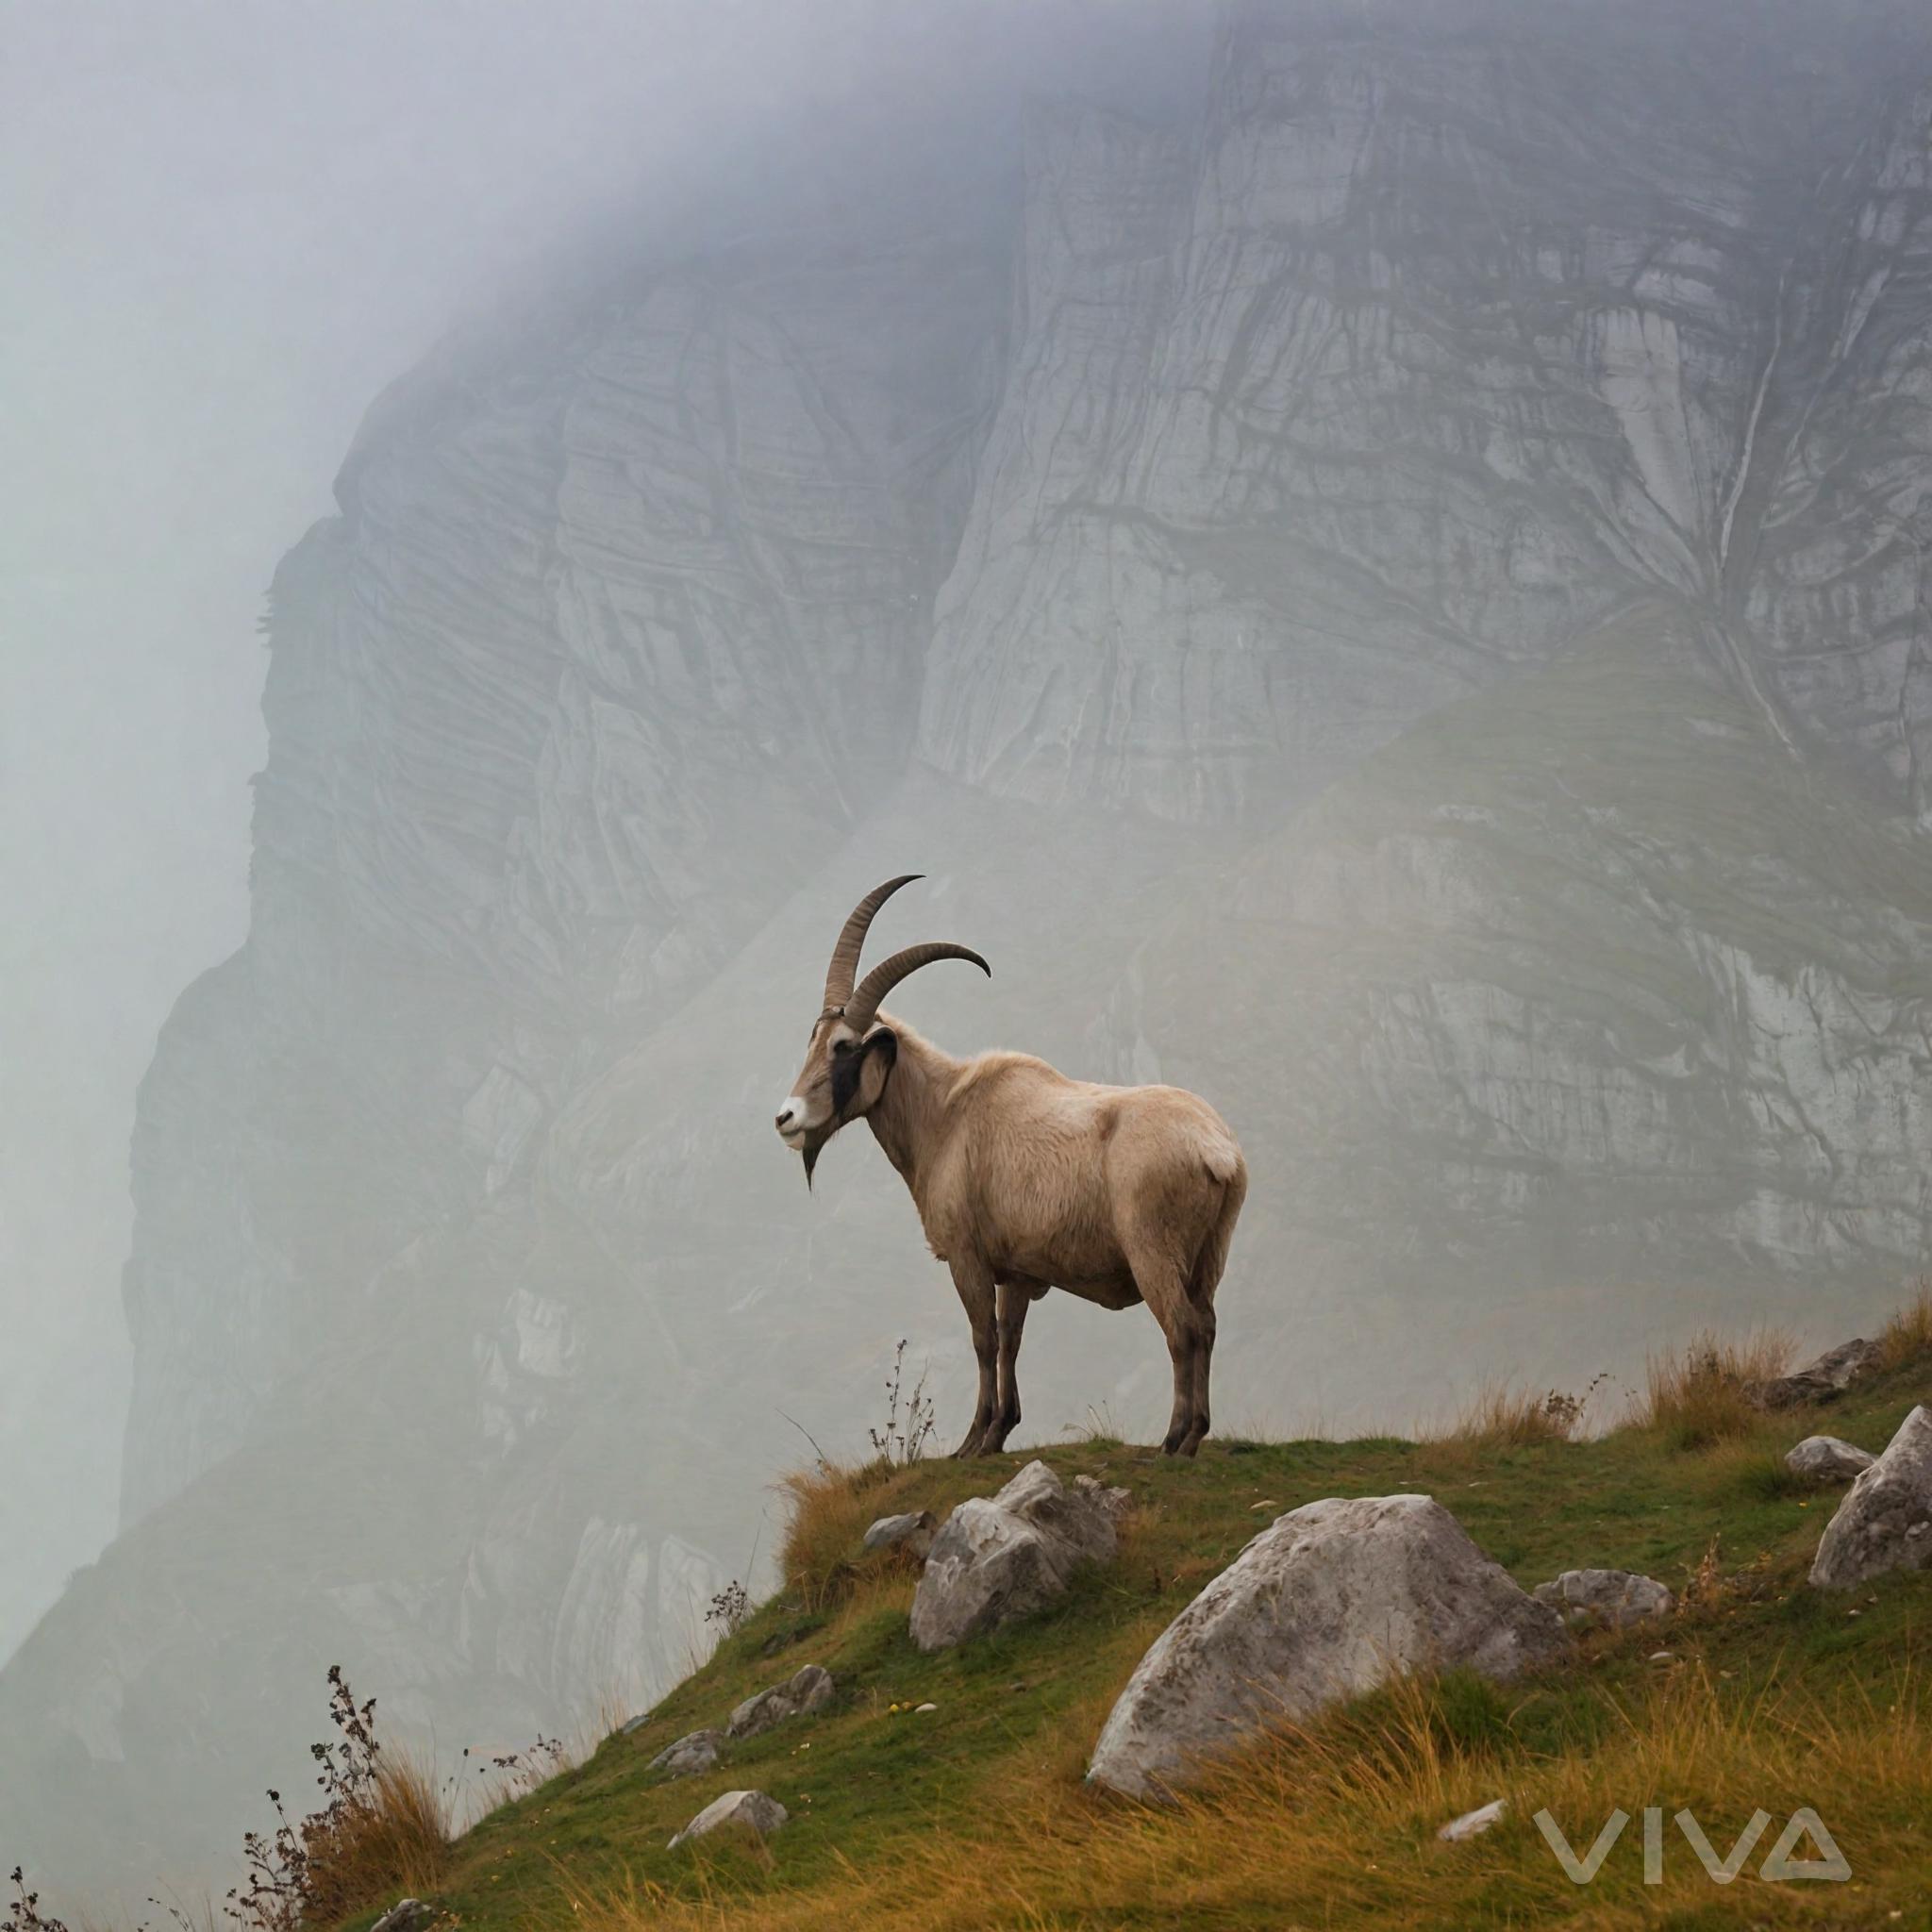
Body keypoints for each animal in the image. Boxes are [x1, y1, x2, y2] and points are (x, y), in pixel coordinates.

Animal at [775, 876, 1247, 1457]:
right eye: (814, 1039)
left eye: (844, 1046)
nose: (787, 1117)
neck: (948, 1112)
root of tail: (1217, 1151)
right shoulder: (1018, 1273)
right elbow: (1010, 1341)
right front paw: (1000, 1432)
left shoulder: (968, 1260)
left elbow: (983, 1339)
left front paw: (971, 1441)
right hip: (1208, 1257)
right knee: (1206, 1324)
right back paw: (1195, 1434)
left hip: (1153, 1255)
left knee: (1181, 1329)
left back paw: (1174, 1441)